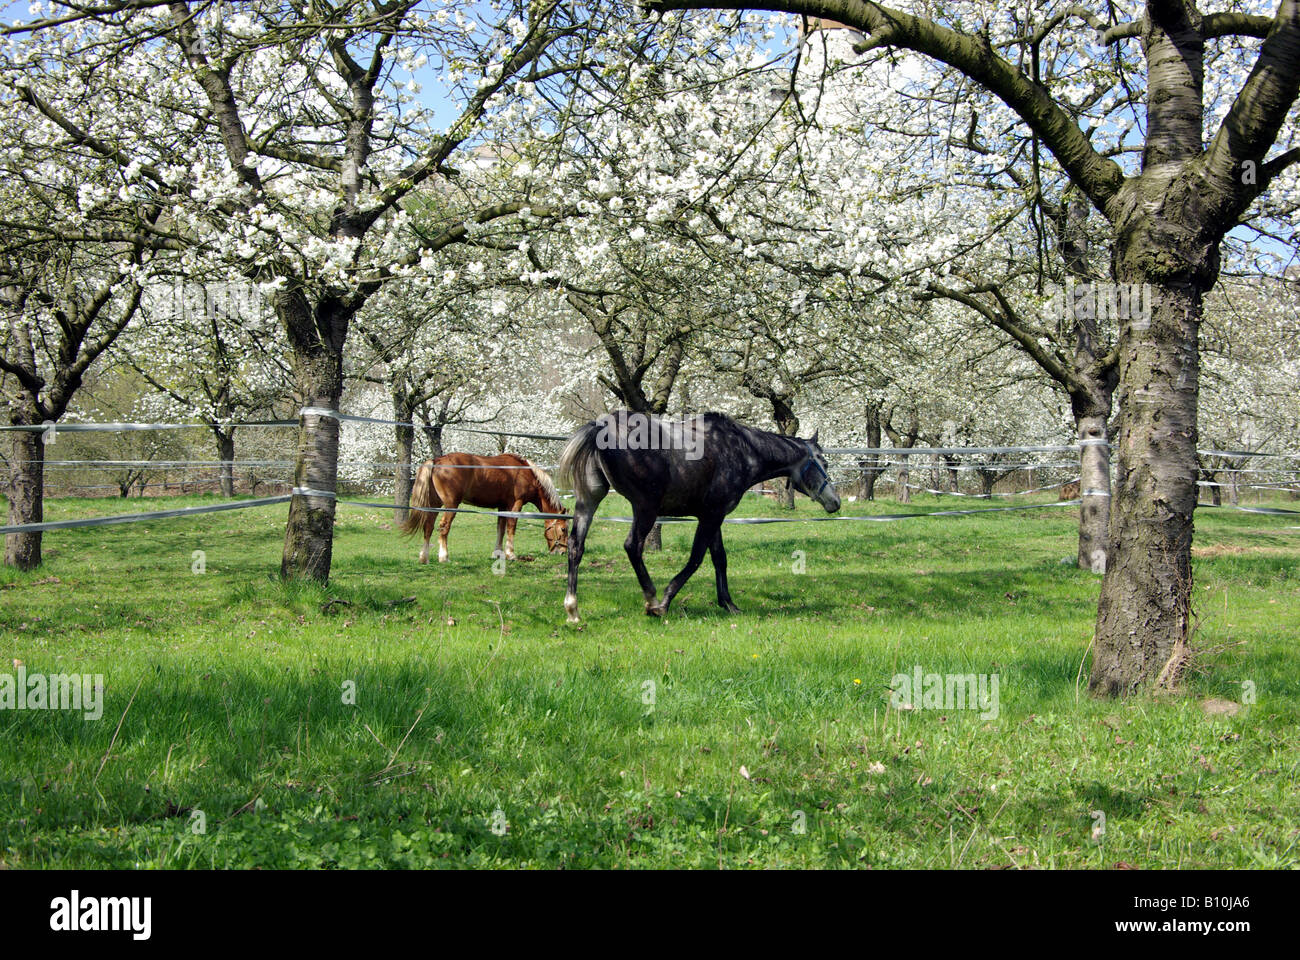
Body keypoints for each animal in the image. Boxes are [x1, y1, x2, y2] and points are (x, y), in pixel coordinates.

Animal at [400, 453, 568, 563]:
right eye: (563, 529)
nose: (562, 552)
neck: (525, 472)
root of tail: (437, 460)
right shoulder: (516, 504)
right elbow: (511, 527)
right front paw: (510, 554)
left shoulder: (502, 506)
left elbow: (500, 529)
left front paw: (497, 553)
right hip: (450, 505)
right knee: (444, 527)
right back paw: (444, 557)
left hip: (435, 505)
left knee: (428, 527)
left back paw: (424, 557)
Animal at [557, 410, 840, 622]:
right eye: (823, 463)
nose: (835, 502)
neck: (742, 448)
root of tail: (602, 427)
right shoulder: (711, 517)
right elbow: (696, 559)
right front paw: (665, 602)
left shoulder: (713, 516)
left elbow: (719, 558)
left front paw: (729, 604)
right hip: (645, 508)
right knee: (632, 547)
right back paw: (651, 599)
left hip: (589, 501)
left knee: (575, 546)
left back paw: (573, 610)